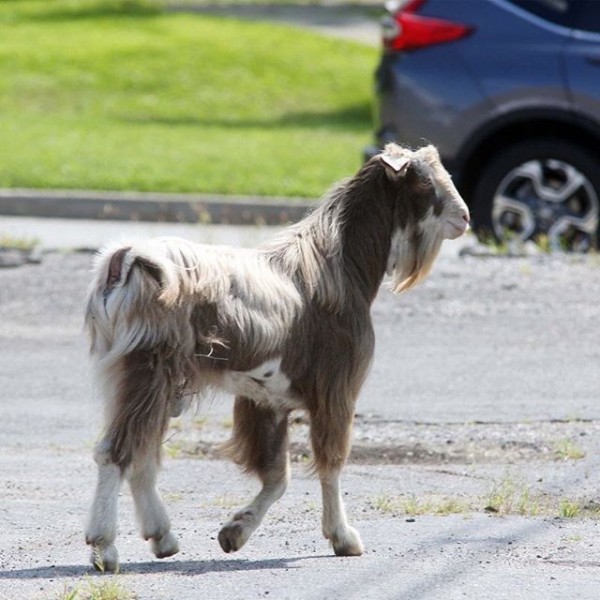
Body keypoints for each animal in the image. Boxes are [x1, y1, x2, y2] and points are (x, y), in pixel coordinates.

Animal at [83, 143, 468, 568]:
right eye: (424, 182)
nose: (465, 217)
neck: (337, 267)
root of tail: (124, 259)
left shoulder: (266, 399)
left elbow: (277, 476)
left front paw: (234, 532)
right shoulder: (336, 388)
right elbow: (330, 461)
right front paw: (343, 537)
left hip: (146, 380)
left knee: (142, 454)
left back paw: (162, 536)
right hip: (148, 370)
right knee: (116, 451)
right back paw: (105, 546)